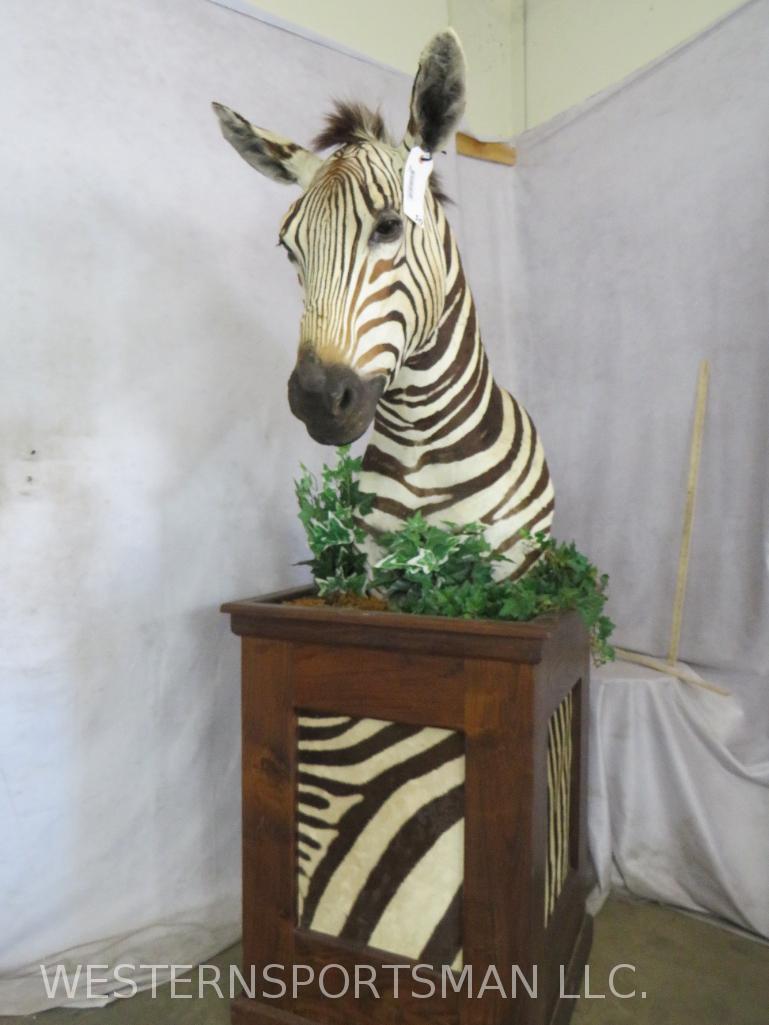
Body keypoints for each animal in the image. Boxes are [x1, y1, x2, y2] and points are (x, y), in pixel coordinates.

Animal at [213, 28, 554, 579]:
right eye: (288, 248)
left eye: (390, 226)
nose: (316, 399)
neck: (421, 445)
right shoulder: (378, 571)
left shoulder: (512, 570)